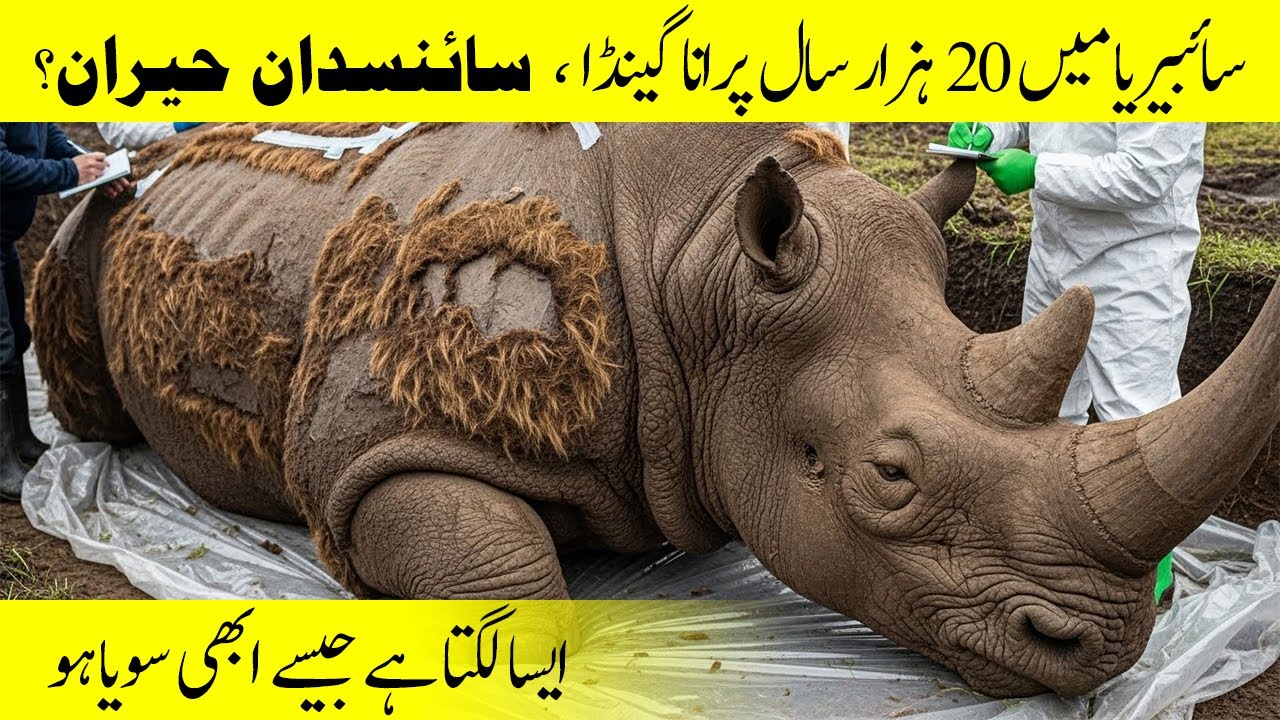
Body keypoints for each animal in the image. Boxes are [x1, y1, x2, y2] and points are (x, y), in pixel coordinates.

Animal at [33, 122, 1280, 698]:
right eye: (887, 477)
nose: (1102, 648)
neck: (699, 270)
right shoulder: (377, 448)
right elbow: (509, 592)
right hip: (107, 217)